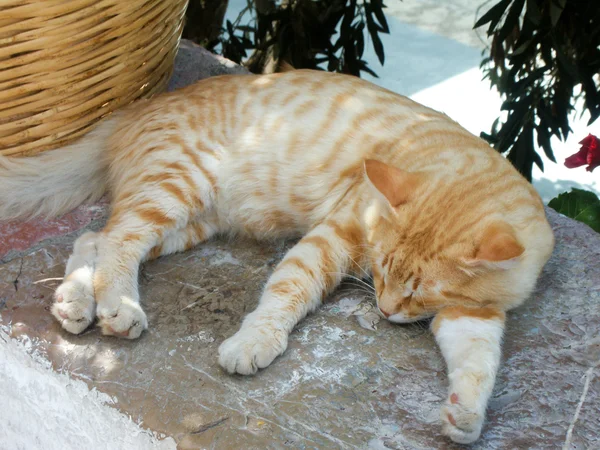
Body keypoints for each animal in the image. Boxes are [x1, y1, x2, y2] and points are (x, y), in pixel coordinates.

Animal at [0, 70, 552, 442]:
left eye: (416, 294)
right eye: (380, 269)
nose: (385, 310)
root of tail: (133, 110)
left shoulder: (475, 314)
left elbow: (479, 362)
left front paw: (466, 414)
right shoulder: (334, 236)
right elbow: (288, 290)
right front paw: (254, 341)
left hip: (187, 221)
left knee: (93, 238)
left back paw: (76, 302)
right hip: (175, 188)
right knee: (115, 240)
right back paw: (117, 305)